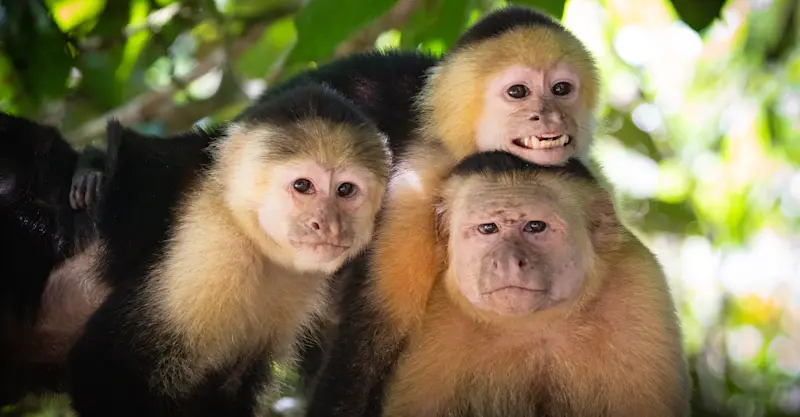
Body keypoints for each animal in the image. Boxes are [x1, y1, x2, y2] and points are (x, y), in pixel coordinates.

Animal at [65, 83, 392, 417]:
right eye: (303, 186)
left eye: (345, 190)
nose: (328, 225)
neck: (251, 236)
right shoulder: (211, 248)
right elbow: (102, 366)